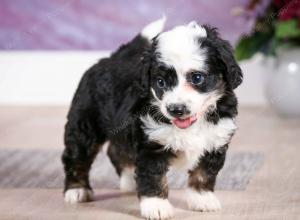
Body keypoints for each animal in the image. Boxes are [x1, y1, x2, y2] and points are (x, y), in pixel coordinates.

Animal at [62, 17, 243, 220]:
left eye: (197, 78)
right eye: (160, 82)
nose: (176, 109)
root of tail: (110, 59)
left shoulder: (215, 140)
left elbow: (204, 172)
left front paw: (202, 198)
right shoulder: (151, 145)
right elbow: (153, 176)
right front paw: (156, 206)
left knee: (117, 150)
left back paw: (128, 181)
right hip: (85, 124)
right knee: (77, 156)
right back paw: (76, 190)